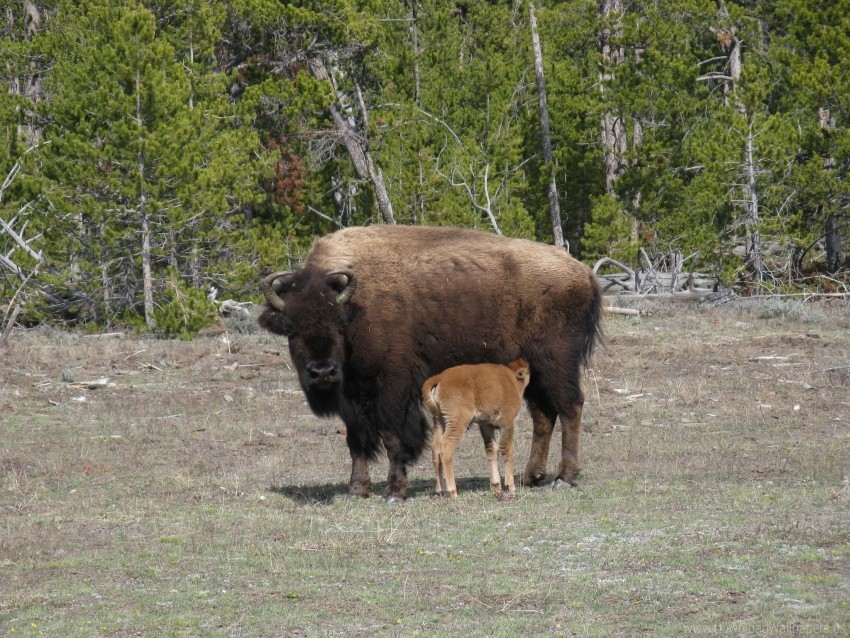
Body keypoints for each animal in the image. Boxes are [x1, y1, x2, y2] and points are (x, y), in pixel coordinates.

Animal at [420, 360, 528, 500]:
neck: (511, 378)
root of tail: (439, 378)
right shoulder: (508, 423)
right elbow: (506, 449)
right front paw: (511, 487)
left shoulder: (486, 425)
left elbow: (491, 449)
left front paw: (496, 486)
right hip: (457, 422)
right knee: (446, 448)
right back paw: (452, 491)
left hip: (439, 421)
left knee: (435, 449)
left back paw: (440, 491)